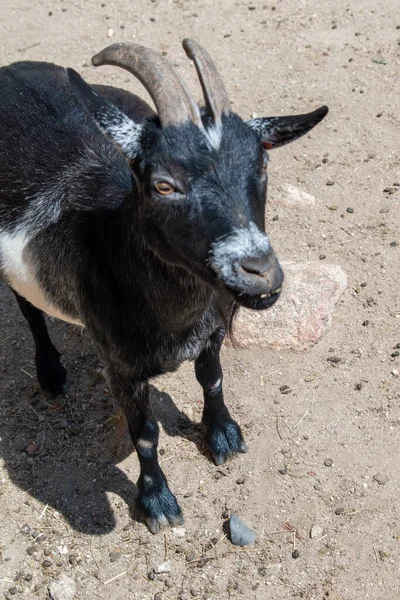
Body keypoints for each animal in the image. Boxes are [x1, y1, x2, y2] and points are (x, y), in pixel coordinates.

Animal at [0, 39, 326, 532]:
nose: (260, 271)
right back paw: (51, 372)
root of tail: (11, 69)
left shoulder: (211, 330)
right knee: (28, 307)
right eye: (164, 185)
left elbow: (212, 380)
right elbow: (145, 434)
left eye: (264, 164)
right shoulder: (122, 368)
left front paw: (224, 435)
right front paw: (157, 501)